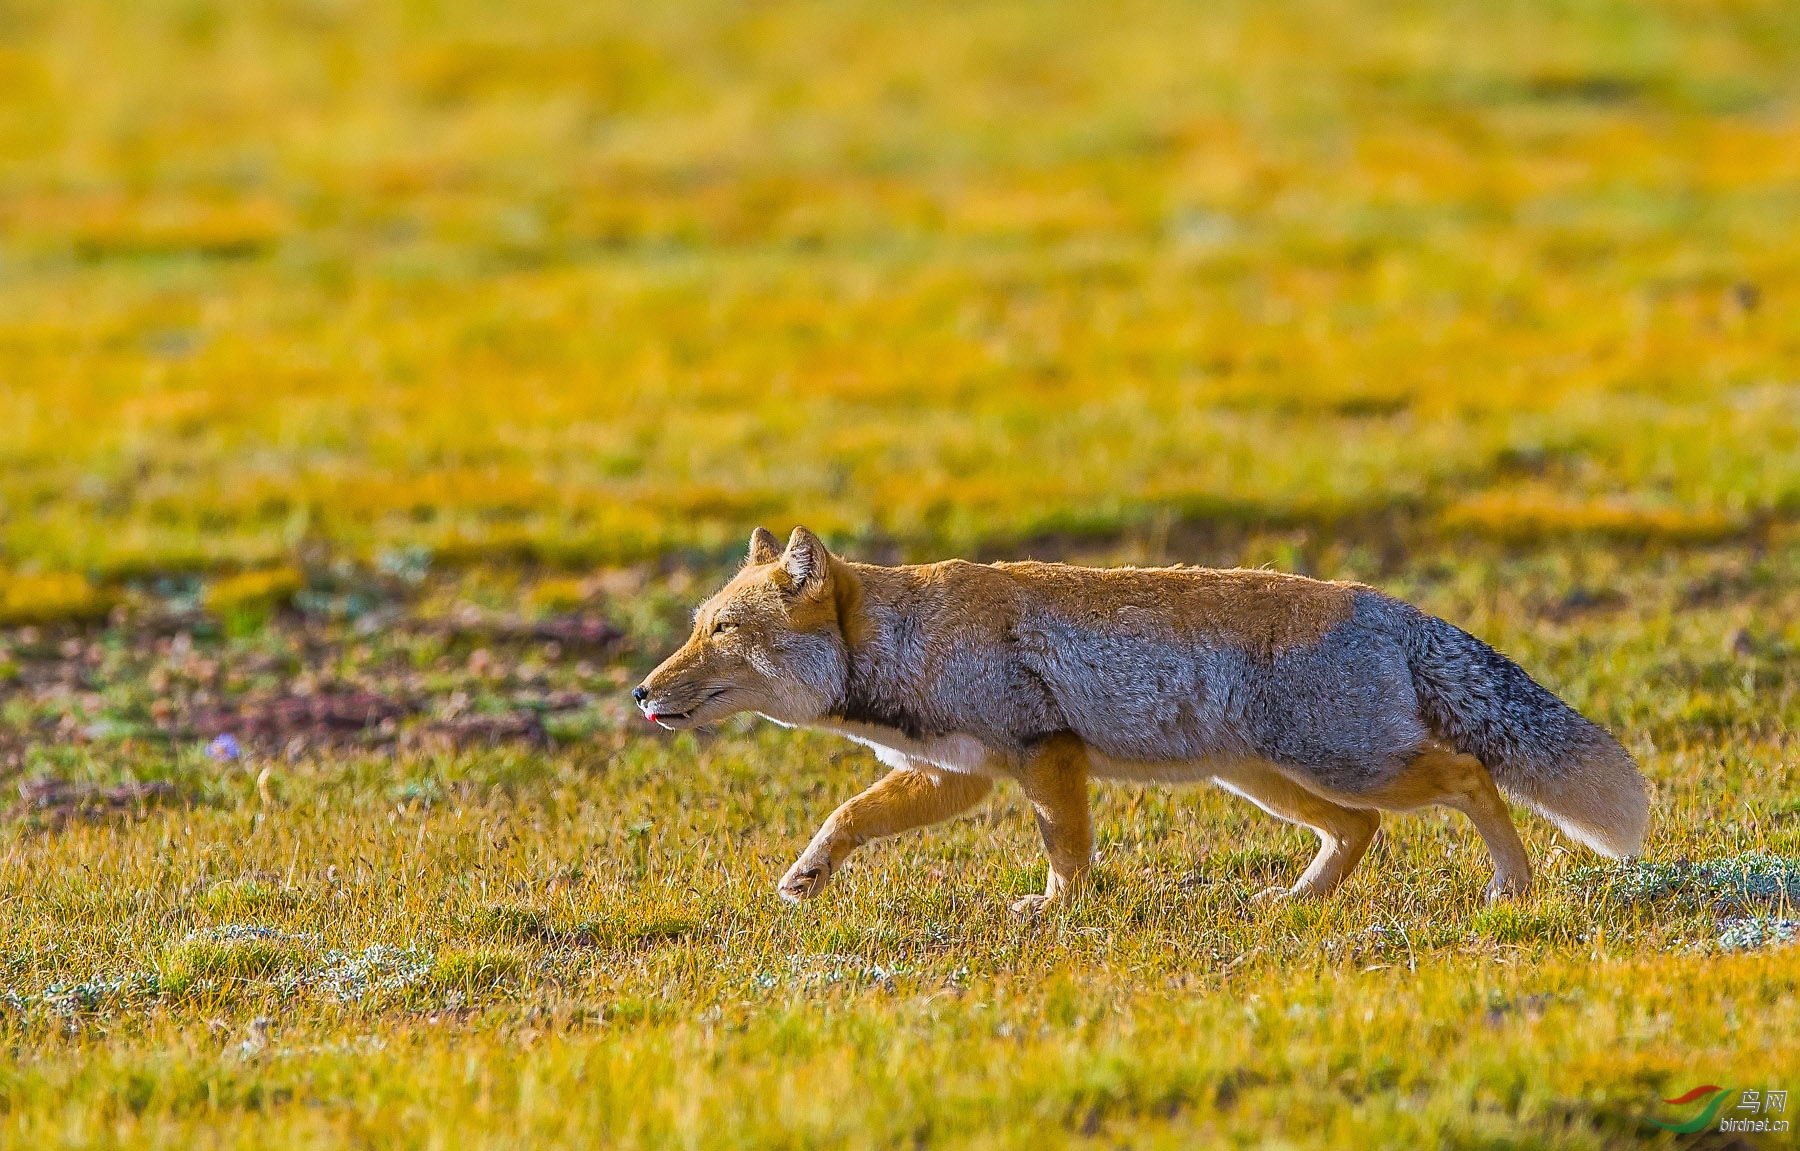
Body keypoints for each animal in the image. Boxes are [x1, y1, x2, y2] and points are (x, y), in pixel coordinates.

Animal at [633, 525, 1648, 915]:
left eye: (721, 631)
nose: (642, 692)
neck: (908, 641)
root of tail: (1384, 602)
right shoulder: (960, 775)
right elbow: (847, 815)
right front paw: (806, 874)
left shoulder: (1045, 754)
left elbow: (1068, 852)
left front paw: (1056, 912)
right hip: (1272, 780)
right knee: (1358, 830)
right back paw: (1299, 900)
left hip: (1343, 764)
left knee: (1470, 776)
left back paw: (1512, 885)